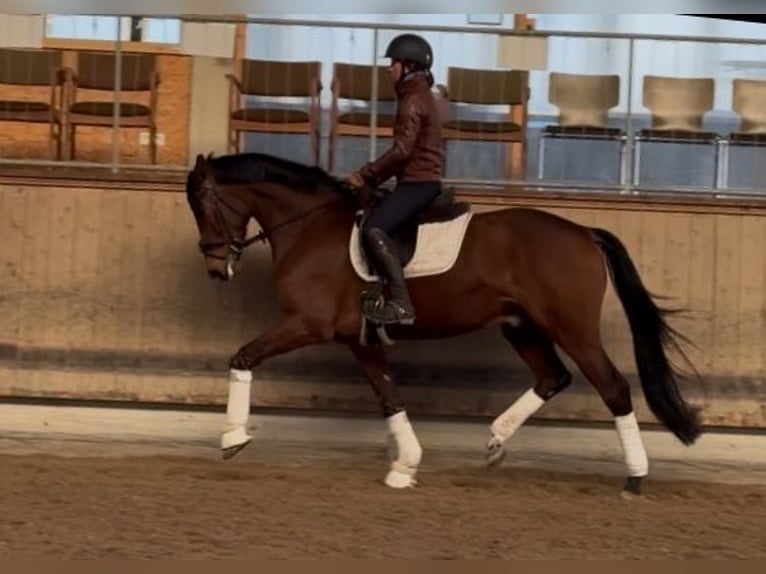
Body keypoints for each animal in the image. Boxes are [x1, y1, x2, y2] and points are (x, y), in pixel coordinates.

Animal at [184, 153, 704, 500]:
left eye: (204, 204)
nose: (214, 268)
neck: (310, 227)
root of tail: (583, 234)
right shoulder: (359, 338)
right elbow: (389, 397)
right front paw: (405, 467)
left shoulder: (307, 324)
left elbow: (243, 355)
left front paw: (233, 439)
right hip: (521, 326)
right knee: (552, 377)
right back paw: (495, 442)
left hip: (572, 328)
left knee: (613, 387)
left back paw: (634, 478)